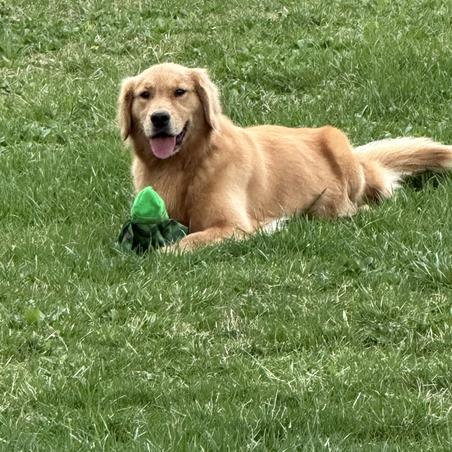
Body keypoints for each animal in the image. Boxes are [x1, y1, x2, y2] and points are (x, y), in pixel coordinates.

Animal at [117, 63, 452, 251]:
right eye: (145, 95)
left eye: (180, 92)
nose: (159, 118)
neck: (183, 165)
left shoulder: (232, 226)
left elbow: (186, 242)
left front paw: (158, 254)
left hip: (341, 152)